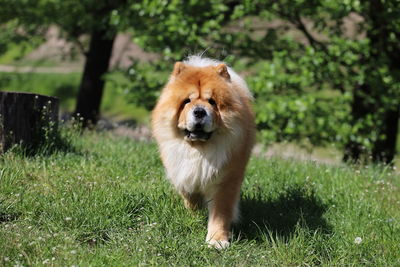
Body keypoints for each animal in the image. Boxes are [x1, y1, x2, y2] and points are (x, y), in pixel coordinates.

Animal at [152, 55, 255, 250]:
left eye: (212, 102)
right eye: (186, 101)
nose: (199, 111)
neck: (199, 149)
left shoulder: (226, 180)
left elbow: (220, 213)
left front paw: (217, 240)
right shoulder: (180, 168)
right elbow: (188, 192)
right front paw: (194, 212)